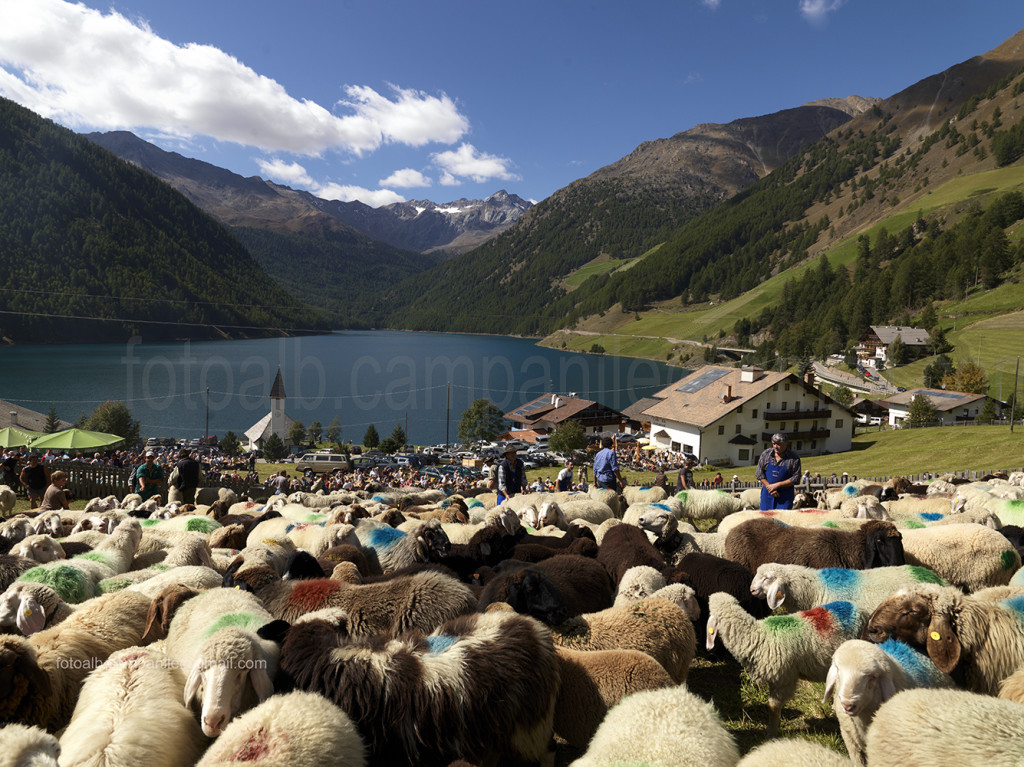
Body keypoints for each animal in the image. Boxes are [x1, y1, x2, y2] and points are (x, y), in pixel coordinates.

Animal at [708, 589, 868, 733]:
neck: (757, 635)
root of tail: (858, 610)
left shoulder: (784, 680)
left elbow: (773, 706)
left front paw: (771, 731)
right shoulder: (774, 679)